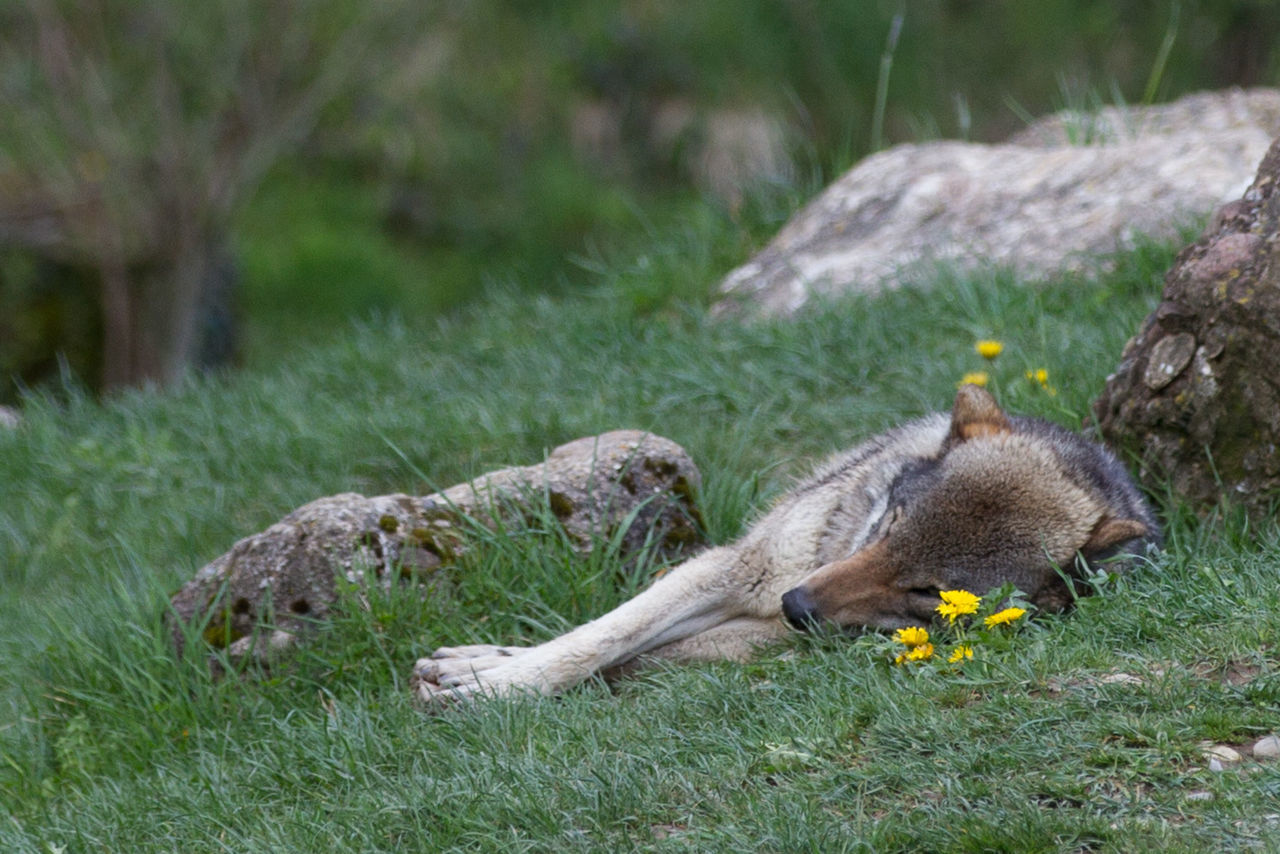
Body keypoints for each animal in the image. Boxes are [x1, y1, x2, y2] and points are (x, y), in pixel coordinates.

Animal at [412, 386, 1162, 701]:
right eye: (890, 523)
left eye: (928, 590)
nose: (797, 605)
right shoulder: (735, 569)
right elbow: (597, 640)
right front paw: (489, 677)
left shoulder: (770, 633)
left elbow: (625, 659)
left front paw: (483, 687)